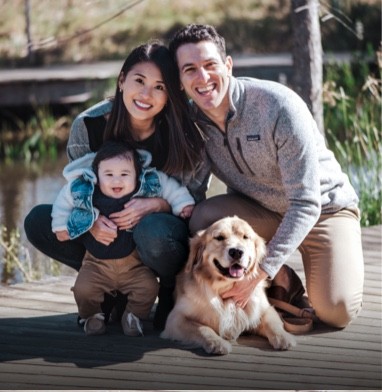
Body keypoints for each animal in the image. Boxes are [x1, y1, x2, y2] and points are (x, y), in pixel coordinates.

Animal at [160, 216, 296, 354]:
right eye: (219, 237)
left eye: (245, 237)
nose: (236, 252)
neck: (225, 287)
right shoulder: (176, 318)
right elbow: (203, 328)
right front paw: (217, 342)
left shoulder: (265, 309)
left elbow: (273, 324)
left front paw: (284, 337)